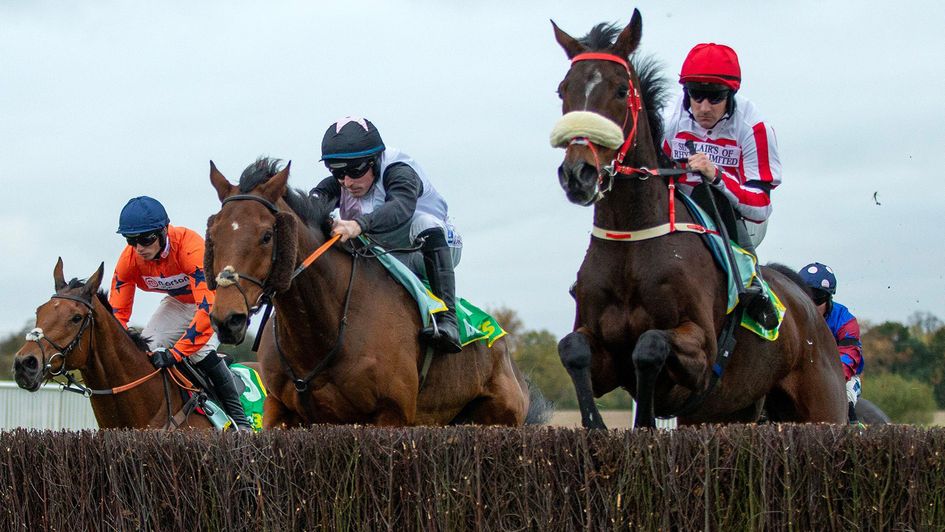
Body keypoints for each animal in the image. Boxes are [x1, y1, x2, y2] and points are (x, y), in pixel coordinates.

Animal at [203, 158, 548, 428]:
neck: (323, 331)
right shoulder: (280, 411)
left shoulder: (391, 414)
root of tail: (500, 341)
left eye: (266, 235)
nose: (227, 319)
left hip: (497, 418)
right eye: (213, 234)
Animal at [548, 9, 844, 428]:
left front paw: (644, 421)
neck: (632, 242)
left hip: (824, 406)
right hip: (735, 410)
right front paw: (596, 424)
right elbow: (573, 348)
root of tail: (809, 309)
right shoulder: (603, 353)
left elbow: (649, 345)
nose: (578, 174)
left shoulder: (701, 353)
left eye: (621, 90)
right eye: (564, 90)